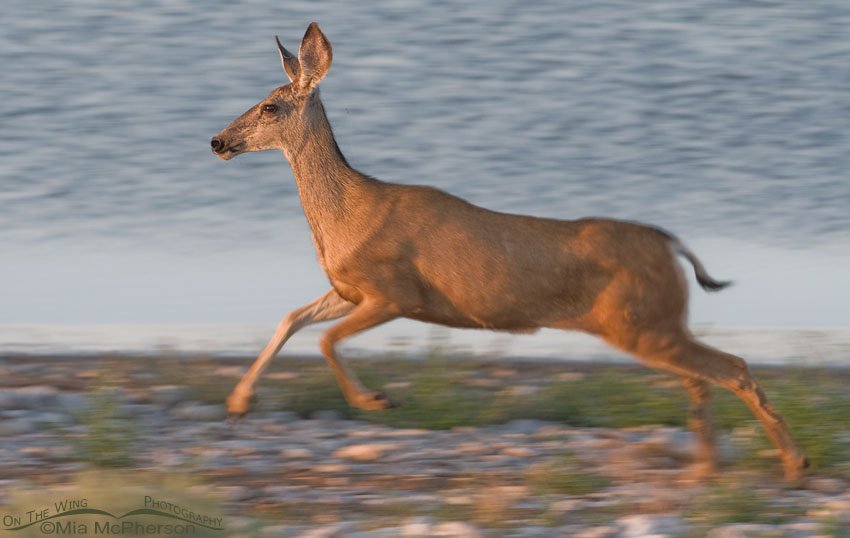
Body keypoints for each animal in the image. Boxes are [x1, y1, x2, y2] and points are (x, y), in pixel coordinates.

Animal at [210, 22, 808, 482]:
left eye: (270, 106)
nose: (218, 141)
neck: (347, 218)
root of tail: (671, 244)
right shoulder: (349, 289)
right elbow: (292, 318)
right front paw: (237, 404)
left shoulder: (396, 292)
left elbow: (327, 340)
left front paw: (375, 401)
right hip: (653, 323)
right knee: (701, 378)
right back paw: (709, 468)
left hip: (639, 322)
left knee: (732, 367)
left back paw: (792, 465)